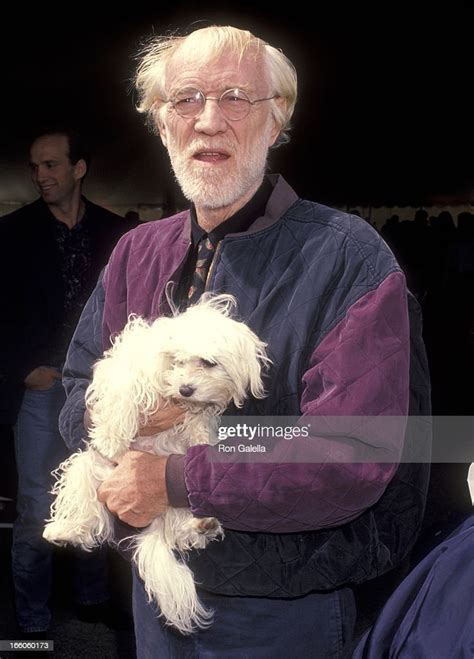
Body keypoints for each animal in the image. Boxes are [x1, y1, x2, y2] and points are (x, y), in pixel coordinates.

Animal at [42, 294, 268, 636]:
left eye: (208, 363)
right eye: (177, 361)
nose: (186, 388)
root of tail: (156, 524)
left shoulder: (198, 413)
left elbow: (198, 427)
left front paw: (202, 444)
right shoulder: (127, 375)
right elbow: (122, 401)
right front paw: (110, 438)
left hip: (173, 500)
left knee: (183, 526)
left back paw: (202, 525)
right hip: (85, 470)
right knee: (87, 515)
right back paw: (66, 529)